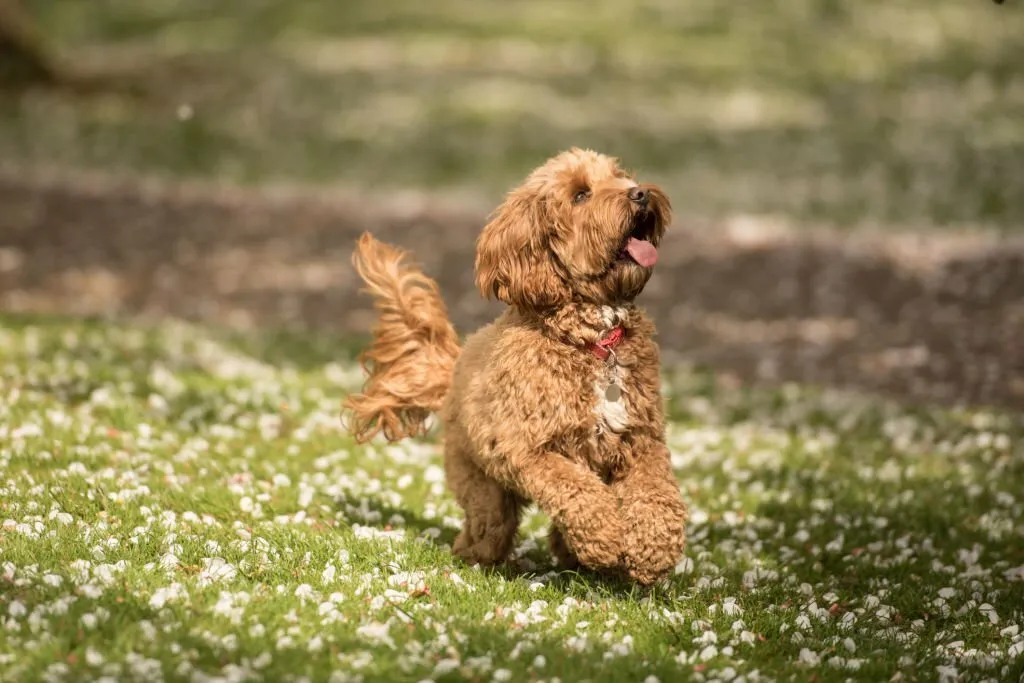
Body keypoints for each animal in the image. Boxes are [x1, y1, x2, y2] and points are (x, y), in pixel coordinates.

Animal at [344, 147, 688, 585]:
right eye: (580, 195)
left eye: (620, 176)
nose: (640, 193)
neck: (591, 341)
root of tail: (456, 368)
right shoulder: (527, 448)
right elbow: (576, 489)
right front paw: (608, 535)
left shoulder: (642, 438)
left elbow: (656, 491)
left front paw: (653, 549)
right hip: (480, 484)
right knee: (487, 528)